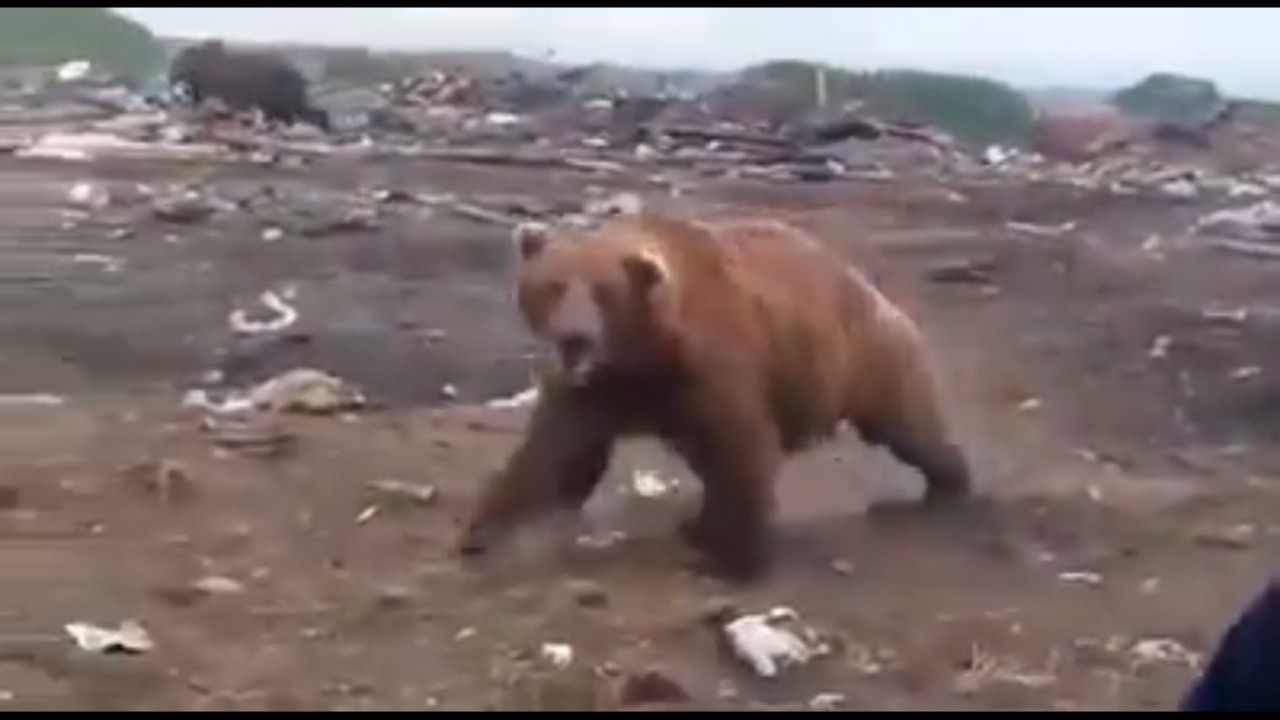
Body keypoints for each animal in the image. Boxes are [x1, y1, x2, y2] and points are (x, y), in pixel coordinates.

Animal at [458, 210, 967, 579]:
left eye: (605, 291)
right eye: (554, 285)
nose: (574, 336)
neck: (647, 354)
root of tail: (876, 292)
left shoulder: (714, 368)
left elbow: (743, 446)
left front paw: (735, 558)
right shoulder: (600, 389)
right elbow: (552, 454)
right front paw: (481, 531)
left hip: (873, 359)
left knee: (913, 428)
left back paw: (952, 487)